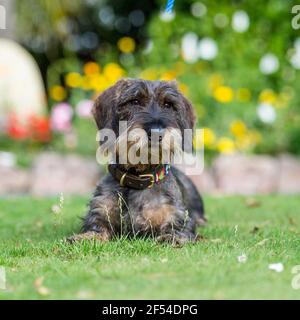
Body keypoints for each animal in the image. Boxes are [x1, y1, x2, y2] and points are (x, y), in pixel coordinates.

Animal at [69, 79, 206, 246]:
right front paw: (85, 237)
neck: (138, 178)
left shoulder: (177, 215)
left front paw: (171, 237)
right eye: (134, 101)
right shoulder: (101, 209)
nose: (156, 133)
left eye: (168, 104)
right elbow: (97, 227)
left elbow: (178, 228)